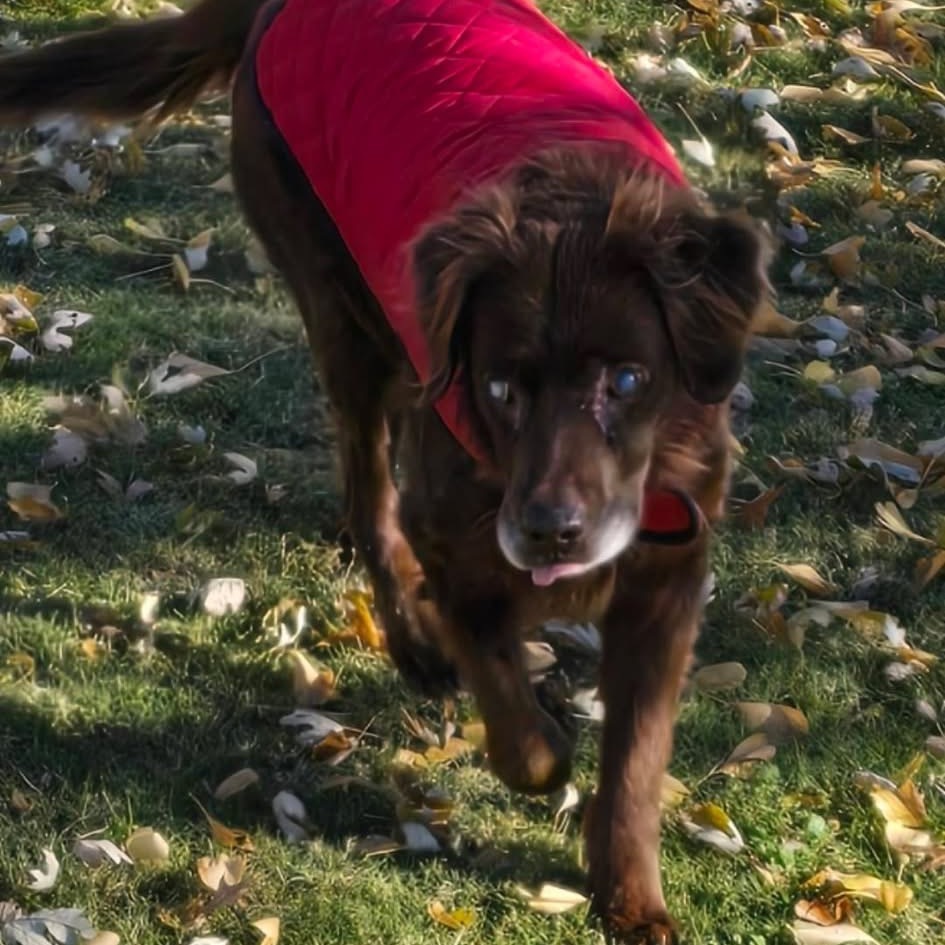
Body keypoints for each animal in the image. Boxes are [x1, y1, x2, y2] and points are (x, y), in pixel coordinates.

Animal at [0, 3, 772, 940]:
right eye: (500, 388)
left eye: (626, 381)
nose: (550, 532)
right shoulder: (461, 533)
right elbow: (519, 727)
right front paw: (535, 737)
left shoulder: (667, 571)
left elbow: (633, 758)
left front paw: (628, 897)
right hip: (343, 312)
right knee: (375, 491)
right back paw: (408, 630)